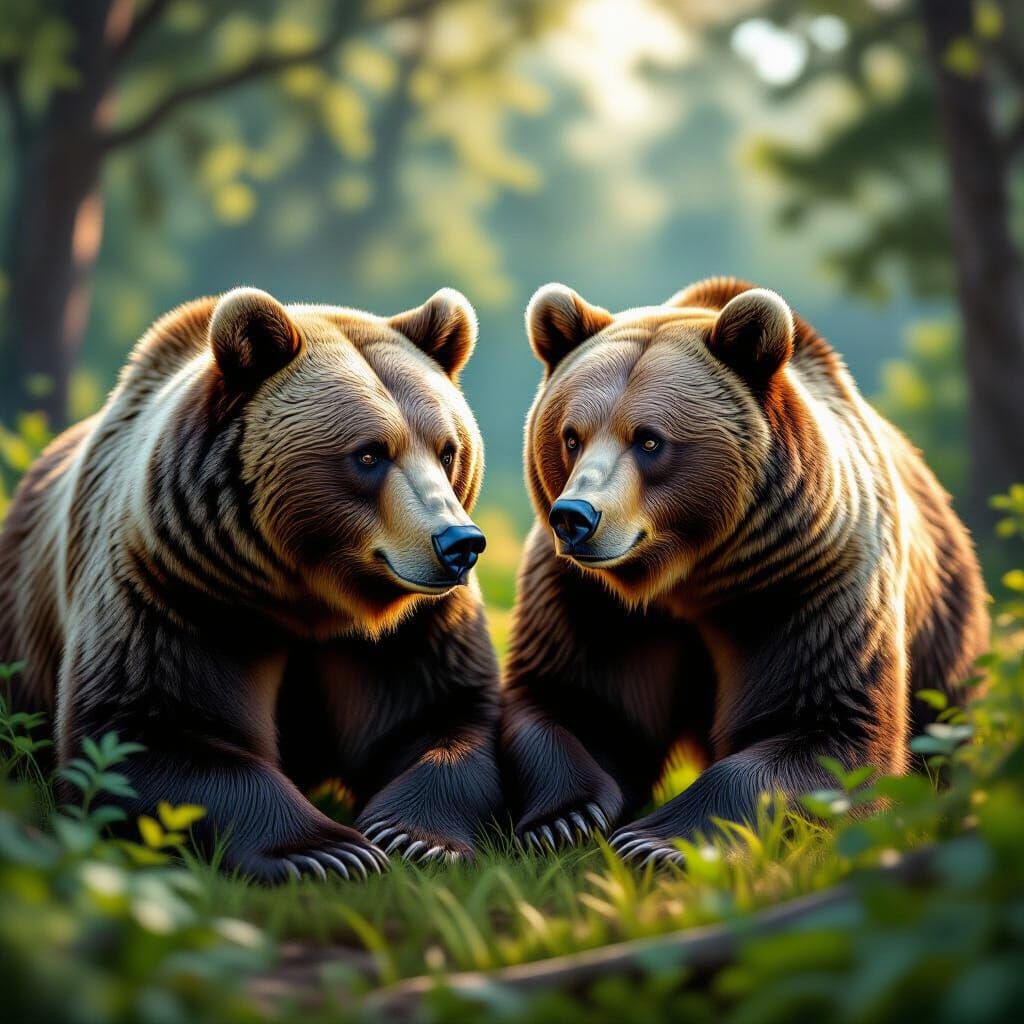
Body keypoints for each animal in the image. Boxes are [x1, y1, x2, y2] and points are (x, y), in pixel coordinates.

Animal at [0, 286, 503, 882]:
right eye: (369, 453)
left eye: (448, 450)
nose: (458, 543)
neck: (311, 591)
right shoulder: (177, 588)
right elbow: (149, 730)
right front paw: (327, 851)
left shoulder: (416, 623)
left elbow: (438, 714)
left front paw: (413, 837)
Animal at [500, 276, 989, 865]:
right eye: (571, 436)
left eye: (649, 439)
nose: (575, 517)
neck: (690, 575)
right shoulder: (590, 599)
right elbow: (577, 701)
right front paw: (564, 820)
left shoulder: (806, 584)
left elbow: (823, 728)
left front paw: (654, 840)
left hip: (944, 613)